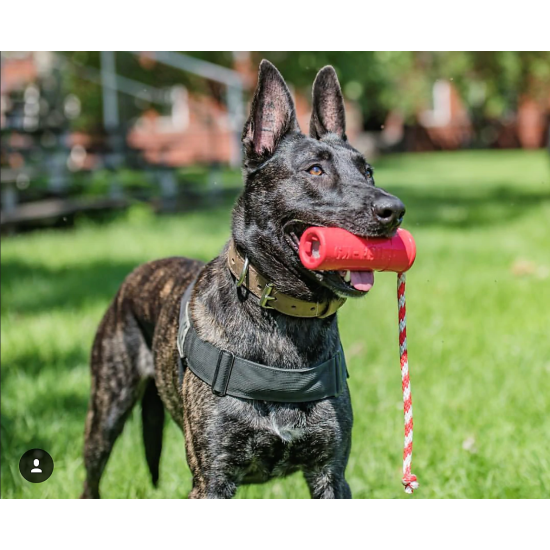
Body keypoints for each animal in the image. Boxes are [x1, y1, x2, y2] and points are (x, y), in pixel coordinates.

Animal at [81, 60, 406, 500]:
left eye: (367, 171)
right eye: (315, 170)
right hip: (106, 410)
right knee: (91, 475)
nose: (395, 210)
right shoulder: (212, 480)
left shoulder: (330, 475)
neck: (283, 318)